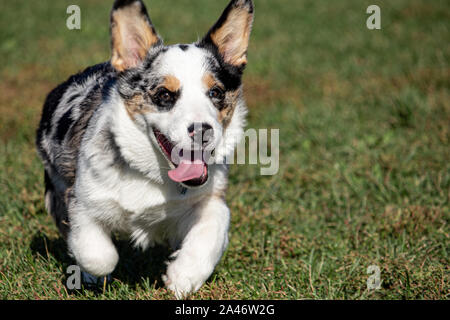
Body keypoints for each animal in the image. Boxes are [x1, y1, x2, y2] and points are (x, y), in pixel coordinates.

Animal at [35, 0, 253, 298]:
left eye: (216, 93)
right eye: (164, 95)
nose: (203, 130)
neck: (154, 172)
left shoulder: (211, 201)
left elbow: (210, 236)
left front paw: (181, 277)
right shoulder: (80, 201)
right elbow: (98, 254)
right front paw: (94, 275)